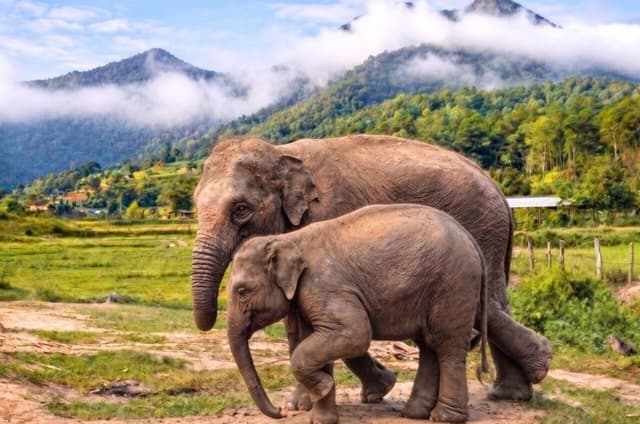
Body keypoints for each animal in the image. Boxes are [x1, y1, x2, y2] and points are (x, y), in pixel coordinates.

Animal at [227, 204, 490, 423]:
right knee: (428, 345)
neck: (288, 239)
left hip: (453, 284)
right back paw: (415, 414)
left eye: (242, 291)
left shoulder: (325, 286)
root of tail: (471, 239)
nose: (280, 412)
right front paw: (321, 419)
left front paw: (323, 388)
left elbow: (354, 333)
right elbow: (314, 341)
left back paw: (444, 417)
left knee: (448, 346)